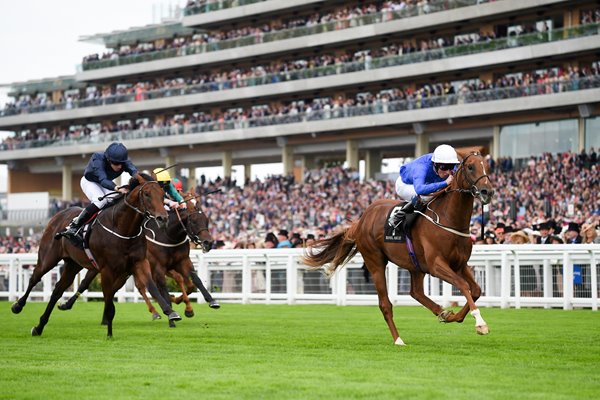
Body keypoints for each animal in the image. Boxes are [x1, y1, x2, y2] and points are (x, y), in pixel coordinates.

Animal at [11, 173, 178, 336]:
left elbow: (151, 286)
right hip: (48, 258)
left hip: (73, 264)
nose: (163, 218)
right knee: (34, 278)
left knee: (57, 291)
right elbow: (109, 300)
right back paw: (18, 306)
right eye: (147, 194)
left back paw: (39, 327)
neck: (123, 229)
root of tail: (58, 215)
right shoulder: (107, 269)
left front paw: (170, 312)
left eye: (163, 194)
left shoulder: (139, 262)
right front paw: (109, 333)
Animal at [57, 193, 217, 324]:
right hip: (101, 266)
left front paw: (209, 301)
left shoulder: (181, 261)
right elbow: (168, 285)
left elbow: (194, 281)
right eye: (194, 221)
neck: (167, 234)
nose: (208, 243)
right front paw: (174, 308)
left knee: (117, 289)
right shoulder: (158, 266)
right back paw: (67, 305)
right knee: (86, 283)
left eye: (207, 220)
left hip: (123, 272)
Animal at [302, 149, 494, 344]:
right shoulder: (436, 265)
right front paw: (480, 323)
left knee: (416, 292)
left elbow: (476, 289)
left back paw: (442, 312)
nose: (487, 191)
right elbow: (463, 285)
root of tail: (361, 220)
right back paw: (398, 339)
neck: (448, 219)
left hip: (415, 265)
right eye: (470, 167)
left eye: (488, 166)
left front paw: (455, 316)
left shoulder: (459, 264)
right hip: (375, 262)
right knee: (385, 304)